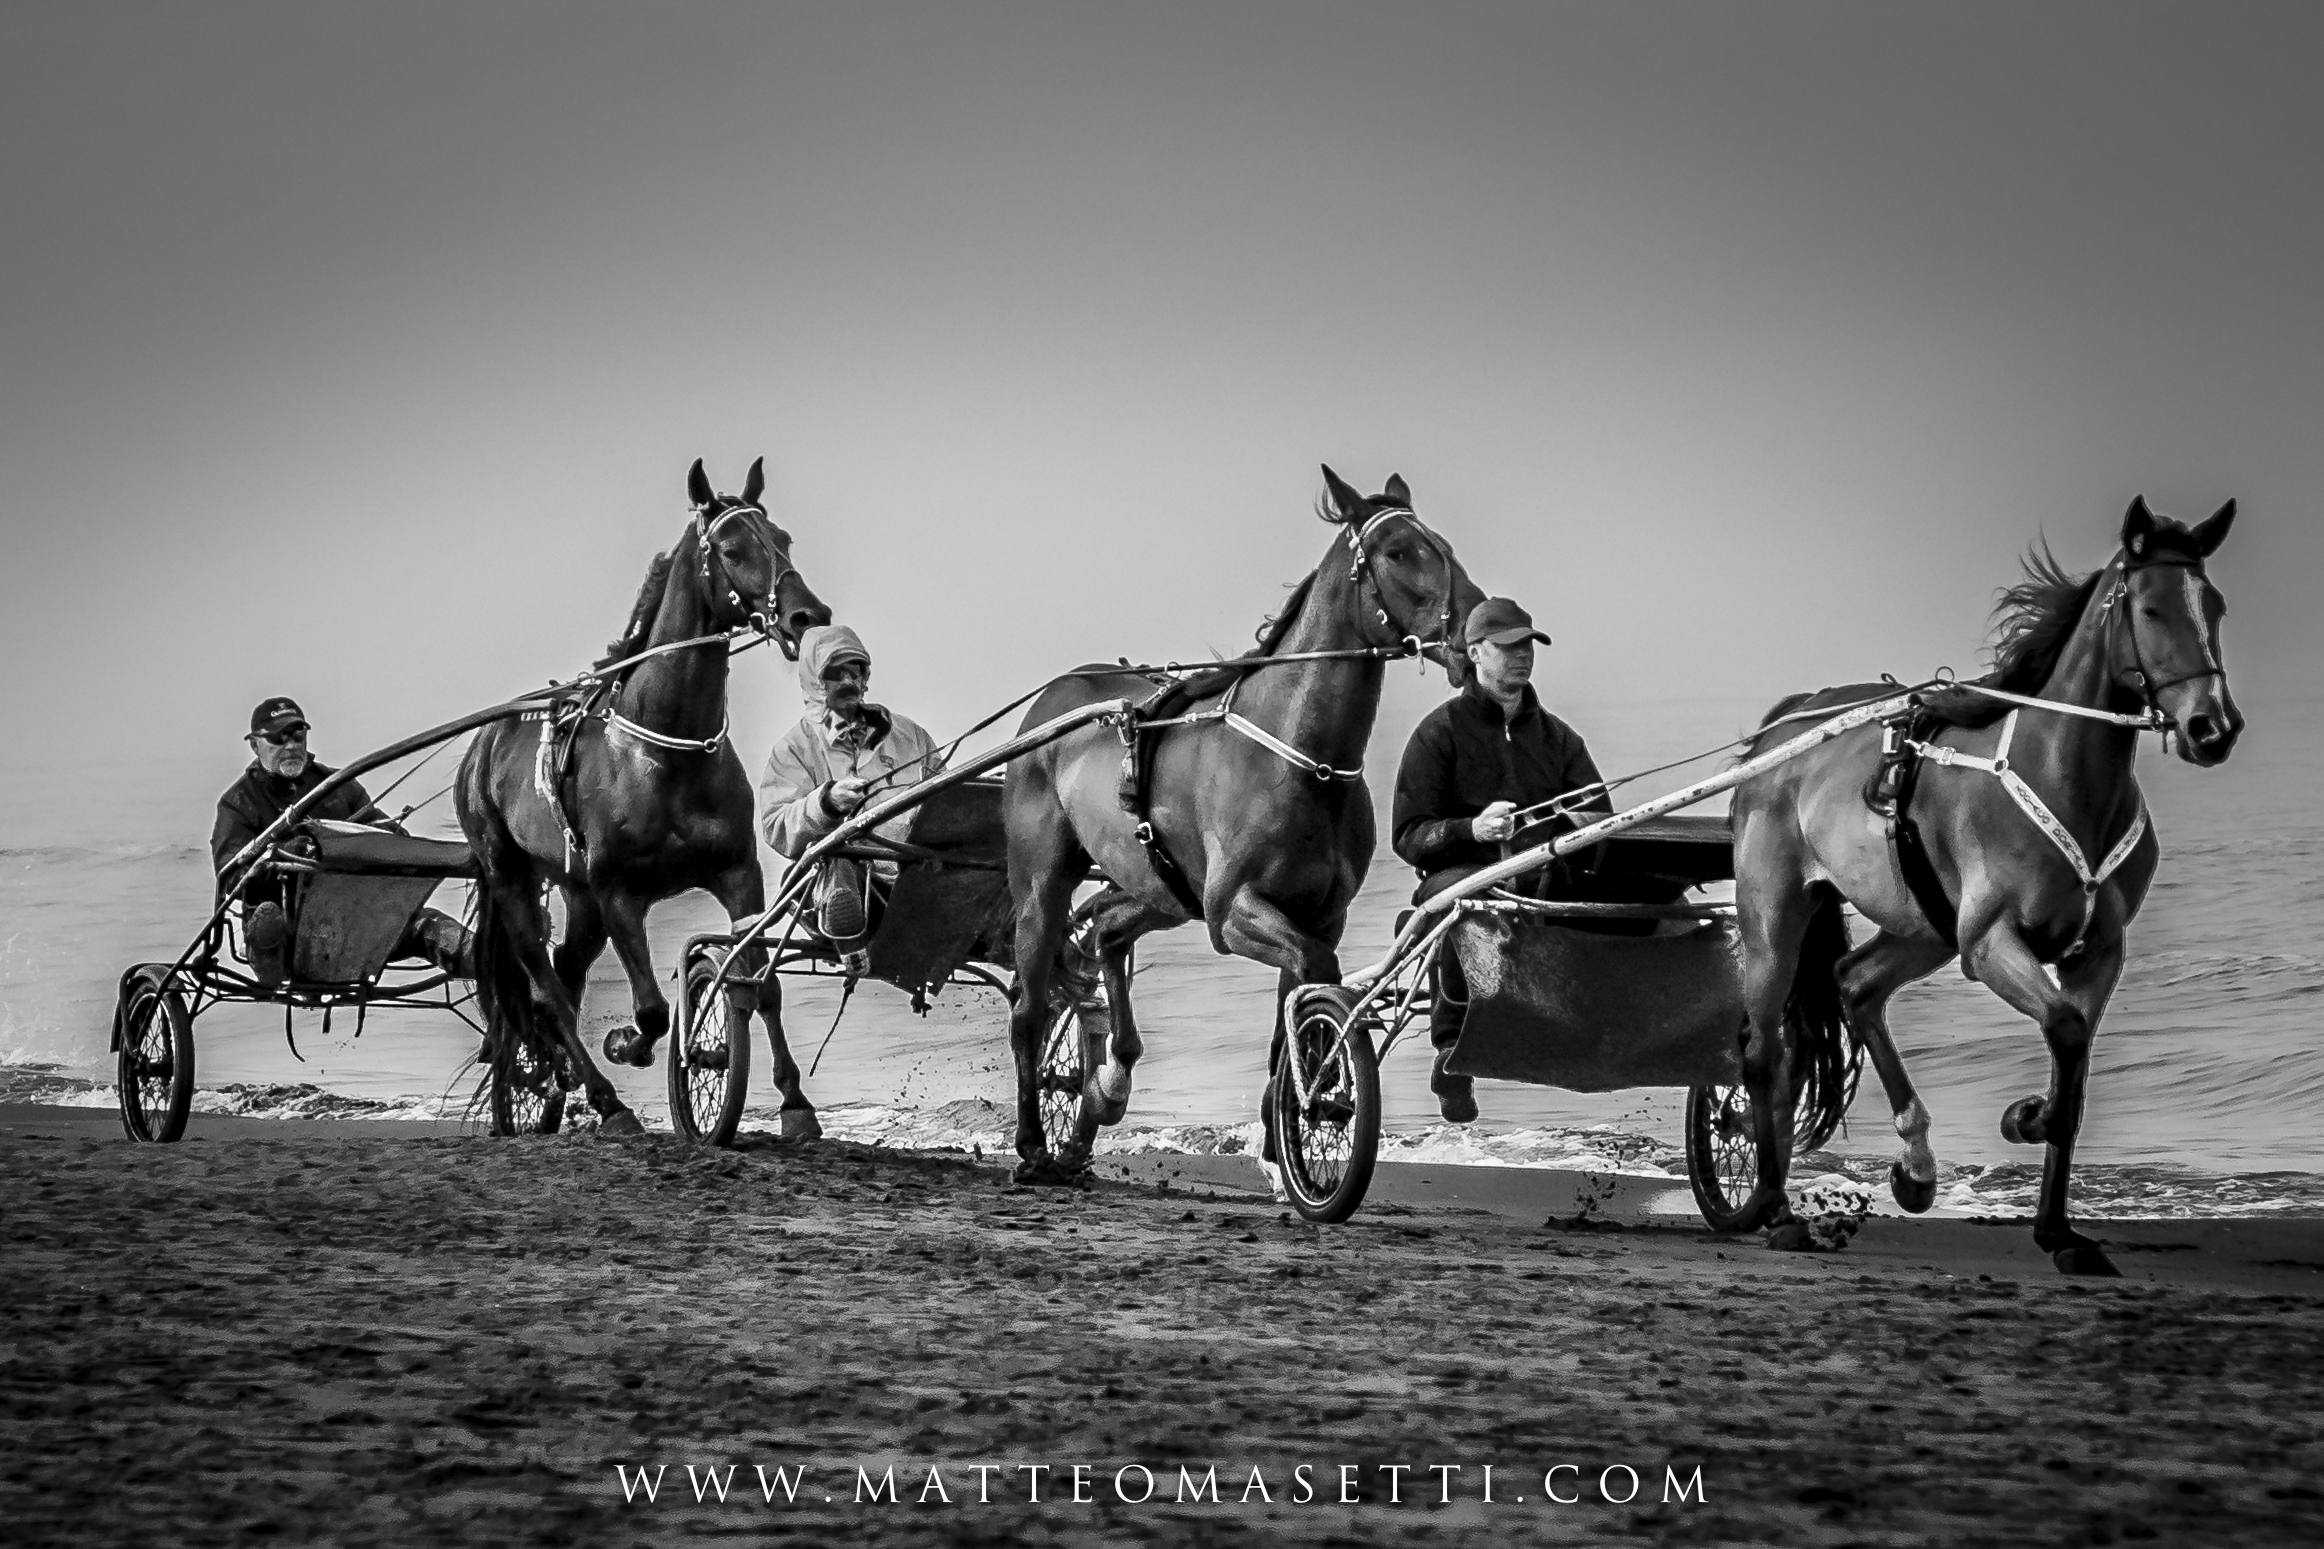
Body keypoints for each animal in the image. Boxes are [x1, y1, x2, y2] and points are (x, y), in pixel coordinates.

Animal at [456, 458, 833, 1136]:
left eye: (784, 540)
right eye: (732, 549)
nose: (806, 615)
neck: (665, 751)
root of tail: (484, 744)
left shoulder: (736, 873)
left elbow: (760, 984)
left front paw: (794, 1104)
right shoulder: (618, 893)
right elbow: (655, 1009)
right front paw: (630, 1045)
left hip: (577, 894)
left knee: (566, 976)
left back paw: (556, 1084)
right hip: (512, 875)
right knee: (544, 983)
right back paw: (602, 1096)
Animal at [1001, 467, 1485, 1180]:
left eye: (1444, 544)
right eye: (1399, 551)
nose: (1479, 632)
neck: (1300, 757)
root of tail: (1053, 700)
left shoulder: (1318, 913)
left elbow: (1296, 1002)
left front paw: (1283, 1138)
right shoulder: (1233, 913)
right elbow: (1315, 975)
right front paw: (1316, 1100)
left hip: (1159, 888)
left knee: (1107, 932)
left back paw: (1108, 1081)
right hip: (1042, 880)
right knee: (1030, 1006)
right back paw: (1034, 1142)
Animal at [1729, 496, 2242, 1275]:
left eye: (2213, 605)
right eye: (2151, 607)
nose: (2213, 726)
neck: (2063, 779)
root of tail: (1782, 733)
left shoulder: (2099, 951)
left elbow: (2074, 1067)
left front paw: (2058, 1230)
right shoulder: (1991, 940)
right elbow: (2064, 1034)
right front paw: (2027, 1116)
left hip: (1923, 926)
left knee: (1857, 984)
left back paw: (1915, 1165)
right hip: (1774, 915)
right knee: (1765, 1052)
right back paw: (1775, 1208)